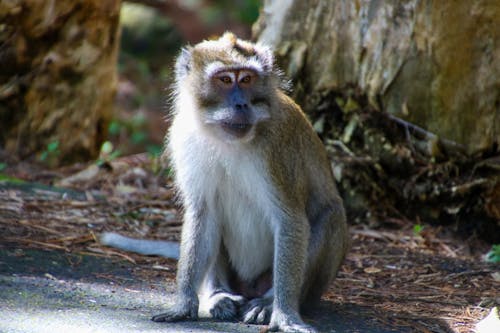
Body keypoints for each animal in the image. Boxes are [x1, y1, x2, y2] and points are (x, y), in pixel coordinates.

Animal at [102, 31, 348, 332]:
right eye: (225, 80)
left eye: (247, 79)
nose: (241, 104)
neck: (226, 139)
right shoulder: (185, 137)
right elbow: (203, 212)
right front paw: (184, 304)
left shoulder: (278, 148)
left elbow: (291, 219)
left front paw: (285, 315)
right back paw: (218, 294)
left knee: (330, 216)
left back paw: (267, 302)